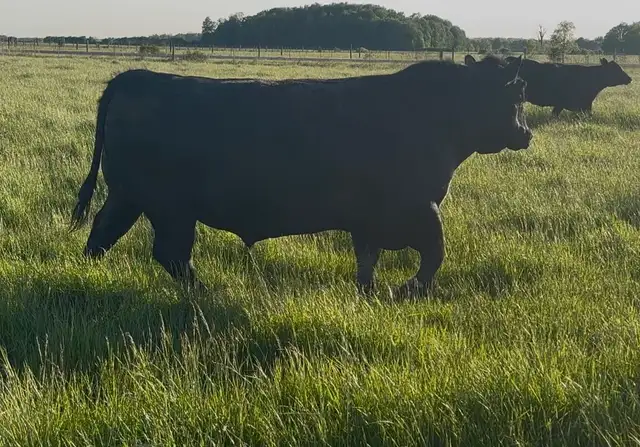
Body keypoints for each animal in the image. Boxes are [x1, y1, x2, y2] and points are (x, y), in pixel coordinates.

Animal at [69, 57, 532, 298]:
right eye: (516, 94)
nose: (526, 133)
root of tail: (135, 77)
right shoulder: (420, 208)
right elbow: (435, 254)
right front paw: (406, 291)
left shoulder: (370, 220)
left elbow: (368, 260)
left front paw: (368, 294)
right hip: (167, 207)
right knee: (170, 254)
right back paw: (208, 292)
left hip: (130, 197)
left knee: (104, 233)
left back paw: (89, 275)